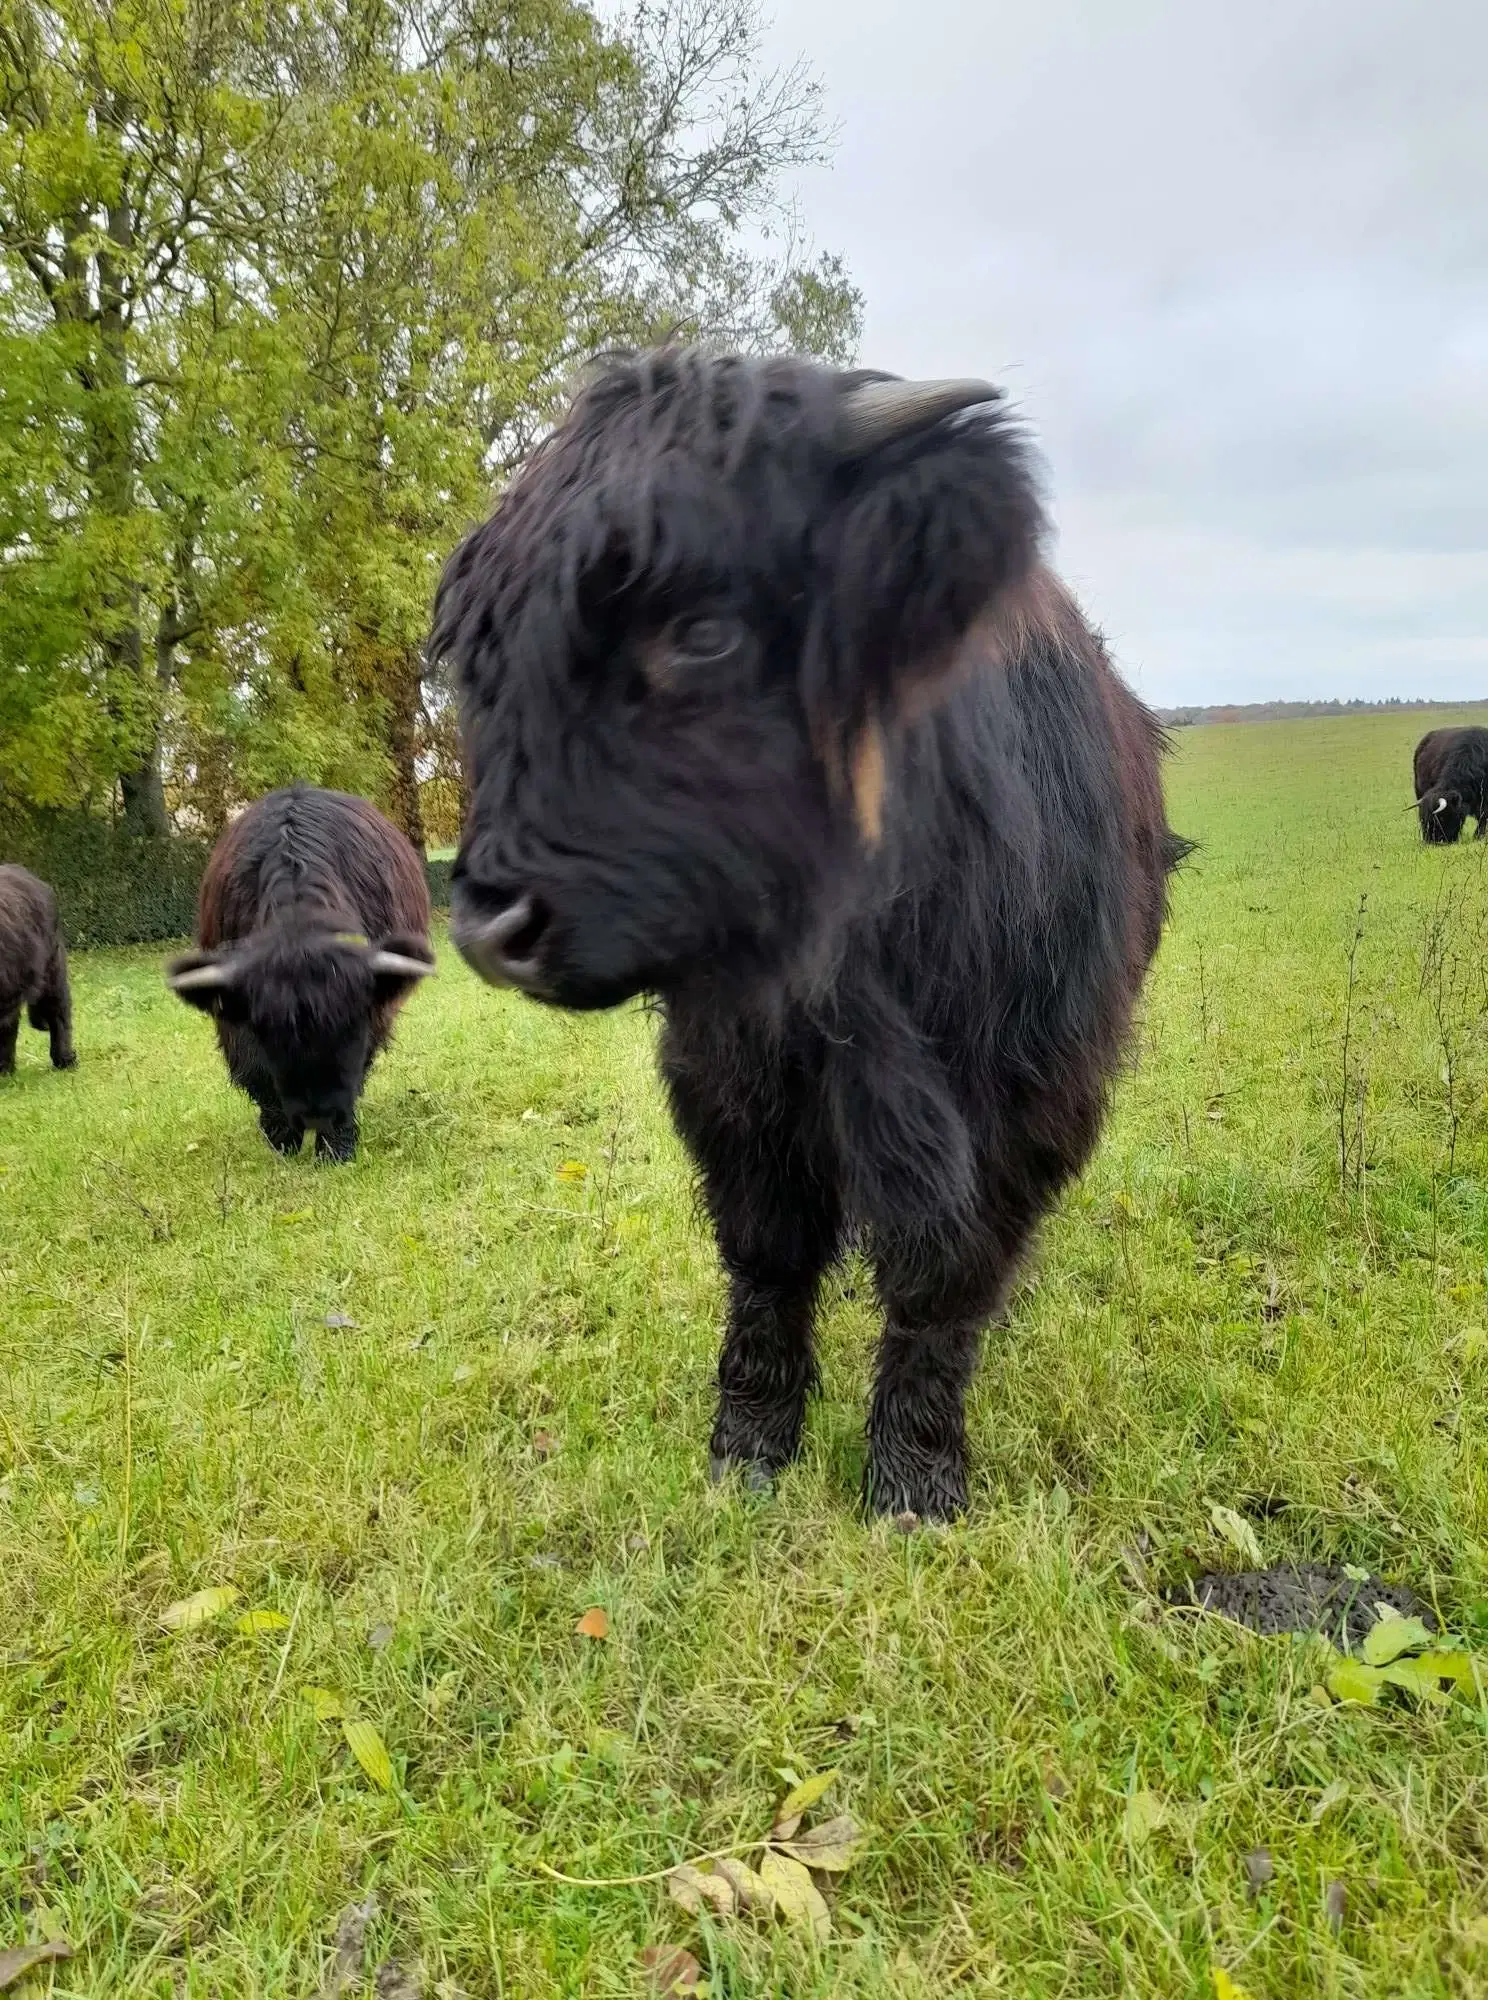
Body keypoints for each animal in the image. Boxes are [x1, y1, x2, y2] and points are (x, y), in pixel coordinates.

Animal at [171, 780, 436, 1160]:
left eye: (352, 1028)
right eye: (267, 1033)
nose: (317, 1116)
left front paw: (336, 1146)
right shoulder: (234, 1020)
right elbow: (255, 1072)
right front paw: (282, 1138)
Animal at [430, 352, 1184, 1520]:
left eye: (702, 631)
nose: (487, 923)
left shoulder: (1031, 1091)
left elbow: (945, 1278)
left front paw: (915, 1478)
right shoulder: (734, 1084)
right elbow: (769, 1259)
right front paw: (747, 1447)